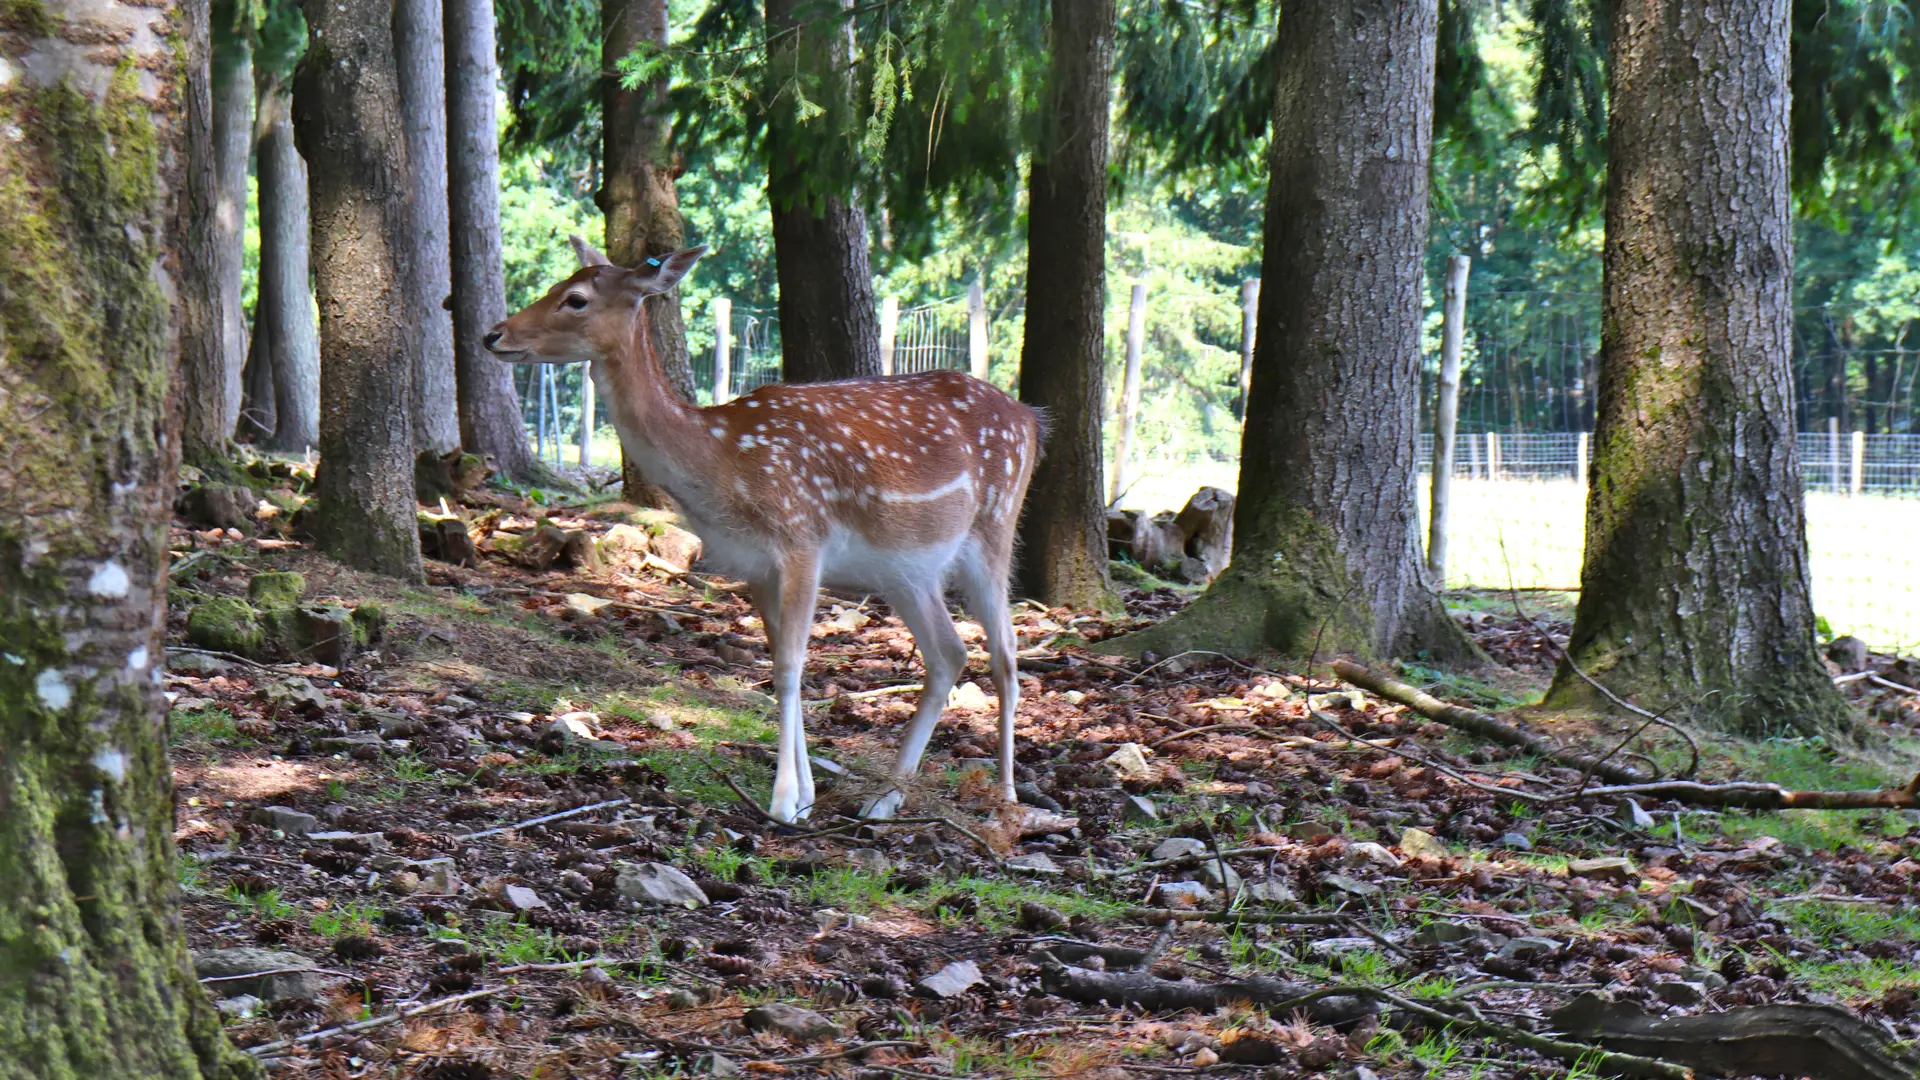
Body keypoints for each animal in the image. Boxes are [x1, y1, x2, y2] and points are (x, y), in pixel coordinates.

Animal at [487, 239, 1044, 818]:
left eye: (575, 298)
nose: (493, 334)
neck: (721, 461)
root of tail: (1031, 419)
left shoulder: (803, 538)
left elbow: (792, 666)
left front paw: (783, 803)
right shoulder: (753, 563)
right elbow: (776, 661)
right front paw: (804, 799)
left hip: (995, 527)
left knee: (1005, 653)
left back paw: (1005, 796)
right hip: (908, 569)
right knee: (948, 653)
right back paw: (884, 800)